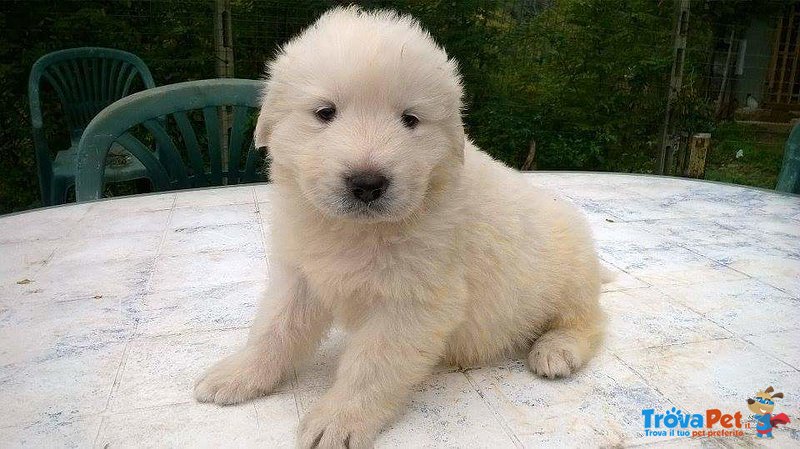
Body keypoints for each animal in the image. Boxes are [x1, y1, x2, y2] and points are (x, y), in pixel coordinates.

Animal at [195, 6, 608, 444]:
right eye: (325, 113)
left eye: (410, 120)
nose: (367, 183)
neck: (357, 231)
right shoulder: (301, 274)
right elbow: (273, 328)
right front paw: (238, 374)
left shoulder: (412, 302)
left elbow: (371, 366)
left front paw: (337, 420)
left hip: (572, 275)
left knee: (589, 321)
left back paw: (556, 350)